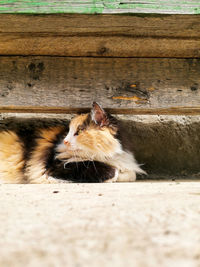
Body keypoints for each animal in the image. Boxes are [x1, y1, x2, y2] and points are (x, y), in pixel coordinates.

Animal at [0, 102, 145, 184]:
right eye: (69, 131)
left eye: (78, 131)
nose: (65, 141)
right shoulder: (55, 168)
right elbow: (112, 171)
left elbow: (131, 174)